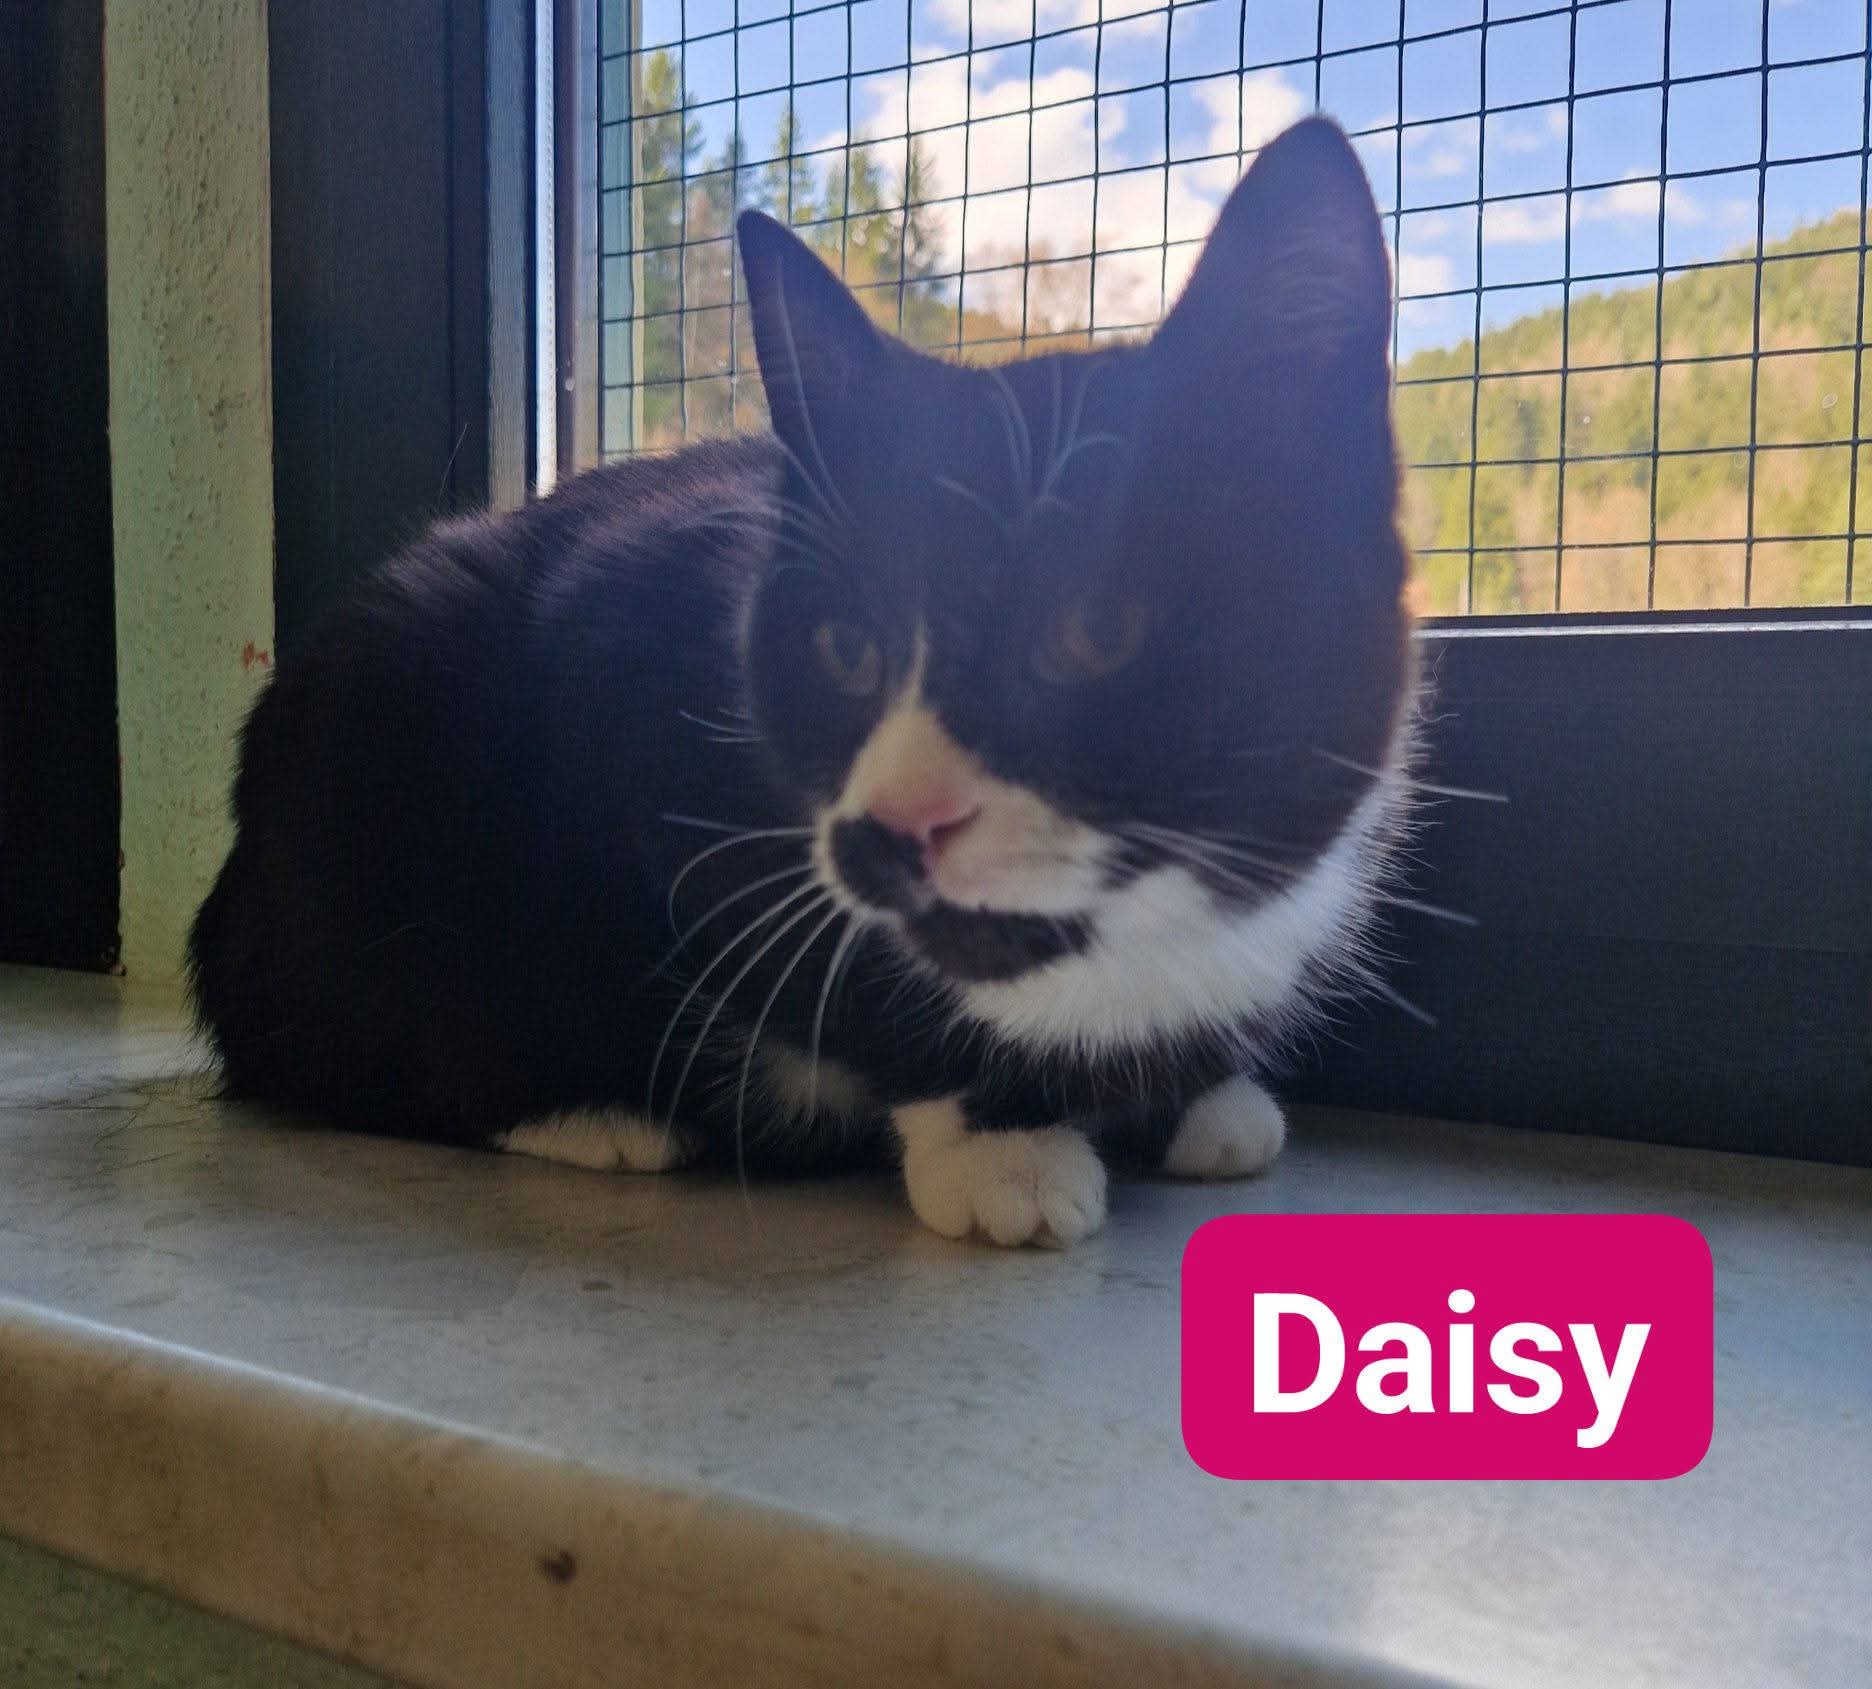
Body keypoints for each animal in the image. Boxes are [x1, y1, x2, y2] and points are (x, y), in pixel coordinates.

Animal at [188, 117, 1417, 1248]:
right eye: (845, 648)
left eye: (1098, 629)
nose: (901, 821)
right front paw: (1003, 1142)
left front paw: (1195, 1097)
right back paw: (595, 1115)